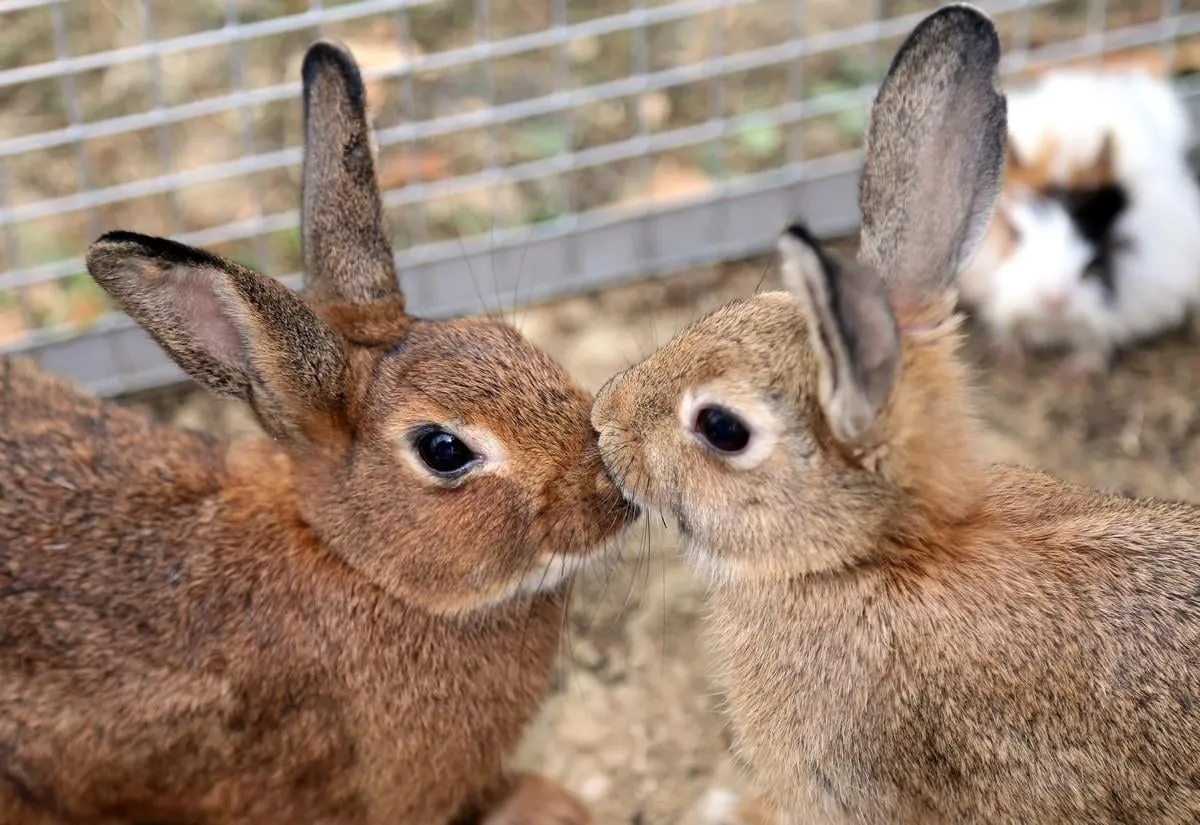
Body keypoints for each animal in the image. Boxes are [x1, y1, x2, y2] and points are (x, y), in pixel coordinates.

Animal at [958, 64, 1200, 379]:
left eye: (1093, 232)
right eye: (1016, 235)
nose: (1054, 300)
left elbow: (1094, 341)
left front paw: (1075, 373)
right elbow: (1006, 327)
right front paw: (1010, 359)